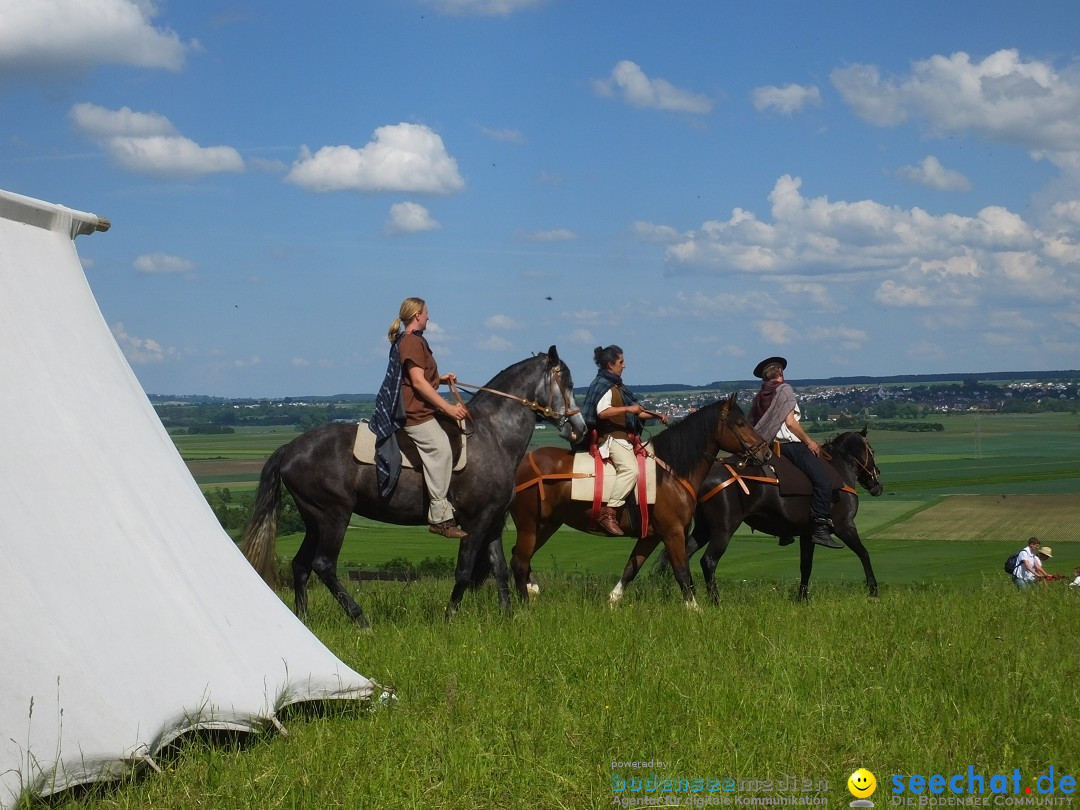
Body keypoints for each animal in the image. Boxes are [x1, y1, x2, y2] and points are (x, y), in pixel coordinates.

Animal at [241, 347, 587, 626]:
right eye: (568, 384)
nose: (580, 428)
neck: (493, 435)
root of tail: (291, 448)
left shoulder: (491, 522)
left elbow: (498, 568)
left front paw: (509, 616)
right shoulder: (474, 522)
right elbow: (464, 571)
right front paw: (449, 619)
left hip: (313, 519)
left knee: (301, 566)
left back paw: (303, 620)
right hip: (333, 516)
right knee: (323, 565)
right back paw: (360, 619)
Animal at [511, 397, 773, 613]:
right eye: (740, 423)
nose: (766, 453)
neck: (669, 472)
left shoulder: (651, 536)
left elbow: (631, 568)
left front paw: (612, 601)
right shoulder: (673, 533)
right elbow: (682, 571)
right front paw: (695, 609)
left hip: (546, 525)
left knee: (521, 556)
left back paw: (532, 590)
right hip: (530, 525)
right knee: (519, 561)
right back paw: (524, 605)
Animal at [682, 432, 885, 604]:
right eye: (873, 451)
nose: (877, 485)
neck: (838, 469)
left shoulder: (808, 533)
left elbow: (806, 565)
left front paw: (803, 599)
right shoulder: (845, 526)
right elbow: (864, 553)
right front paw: (873, 591)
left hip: (705, 528)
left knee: (685, 554)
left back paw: (691, 597)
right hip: (724, 528)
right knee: (708, 561)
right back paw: (715, 602)